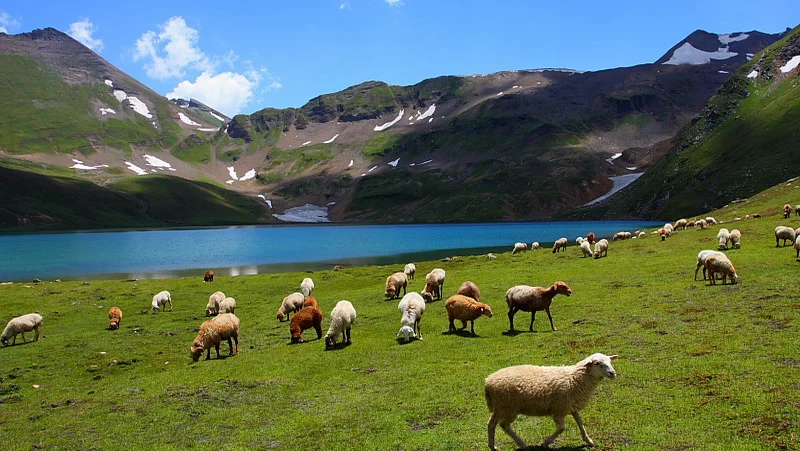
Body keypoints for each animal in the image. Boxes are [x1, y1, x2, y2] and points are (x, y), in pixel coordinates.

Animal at [482, 354, 620, 450]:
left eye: (610, 361)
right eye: (597, 363)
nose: (612, 373)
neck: (575, 378)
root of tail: (488, 381)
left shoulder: (571, 406)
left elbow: (580, 422)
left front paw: (588, 440)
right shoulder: (559, 409)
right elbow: (561, 428)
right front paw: (545, 443)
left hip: (500, 407)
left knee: (491, 424)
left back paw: (492, 446)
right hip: (508, 407)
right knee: (503, 425)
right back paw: (521, 443)